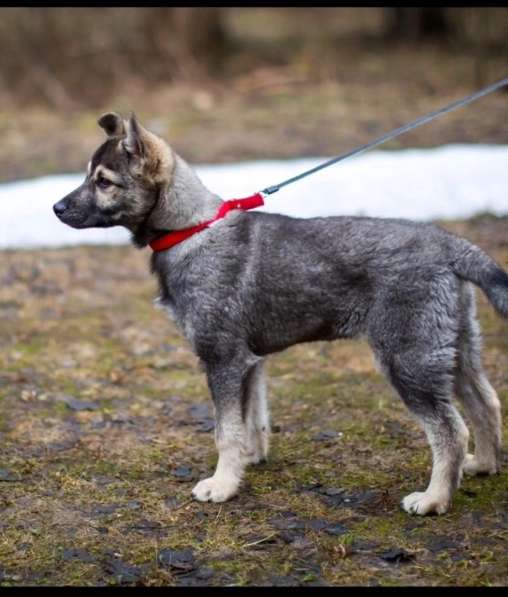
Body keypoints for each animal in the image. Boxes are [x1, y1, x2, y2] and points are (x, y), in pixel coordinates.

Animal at [51, 114, 504, 516]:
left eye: (103, 181)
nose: (56, 207)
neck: (190, 228)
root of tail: (450, 246)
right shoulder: (250, 362)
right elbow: (252, 421)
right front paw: (247, 462)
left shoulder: (222, 359)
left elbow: (225, 431)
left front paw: (221, 485)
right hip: (452, 349)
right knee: (485, 403)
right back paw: (482, 464)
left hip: (408, 358)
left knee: (450, 429)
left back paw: (434, 499)